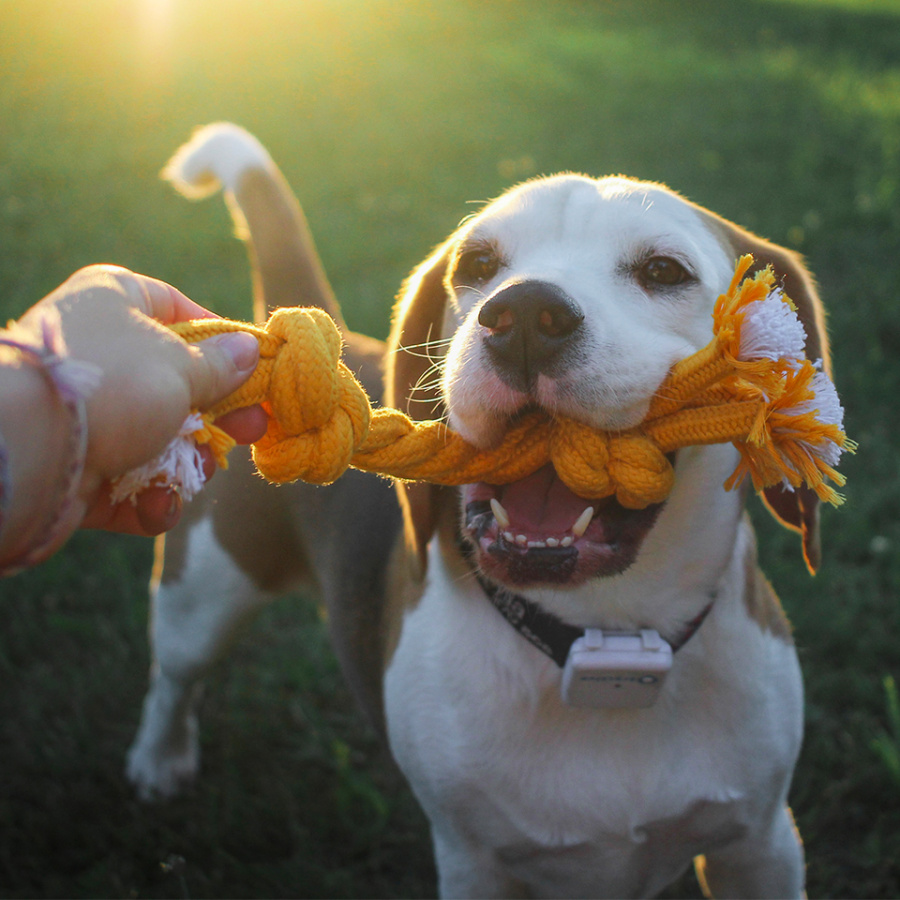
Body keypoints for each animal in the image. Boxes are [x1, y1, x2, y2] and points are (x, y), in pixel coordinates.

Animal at [128, 126, 828, 900]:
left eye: (664, 271)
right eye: (479, 265)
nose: (524, 315)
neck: (600, 639)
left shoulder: (761, 844)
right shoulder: (473, 862)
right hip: (203, 592)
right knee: (174, 676)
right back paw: (158, 759)